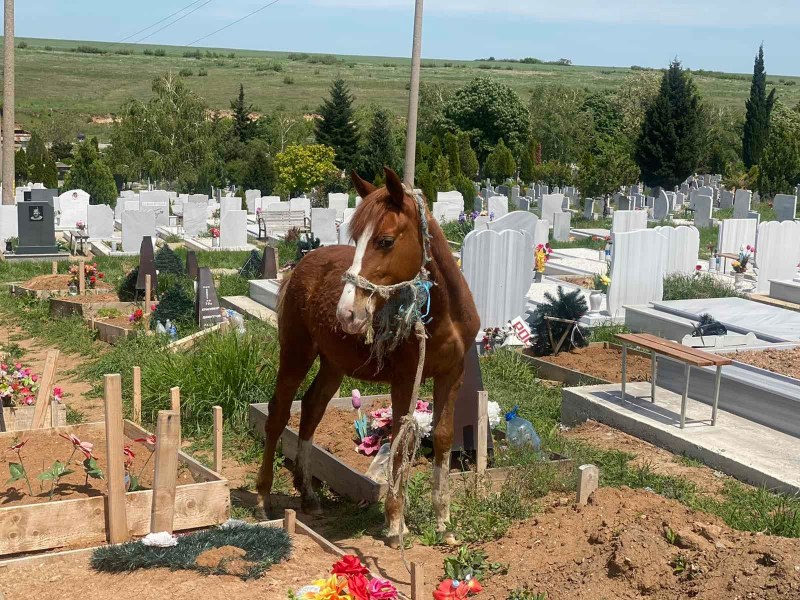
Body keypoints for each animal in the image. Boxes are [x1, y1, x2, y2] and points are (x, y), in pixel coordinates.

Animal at [260, 166, 478, 548]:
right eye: (356, 238)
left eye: (385, 241)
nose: (347, 312)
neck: (441, 316)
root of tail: (302, 264)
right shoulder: (405, 379)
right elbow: (401, 443)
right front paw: (395, 523)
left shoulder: (453, 374)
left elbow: (442, 437)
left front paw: (443, 521)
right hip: (297, 353)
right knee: (279, 413)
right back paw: (263, 498)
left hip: (333, 363)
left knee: (312, 409)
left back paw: (309, 494)